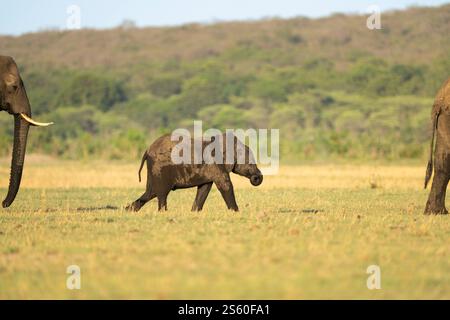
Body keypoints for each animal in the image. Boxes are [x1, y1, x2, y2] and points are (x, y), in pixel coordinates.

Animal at [125, 132, 262, 212]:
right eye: (249, 162)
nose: (257, 177)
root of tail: (147, 150)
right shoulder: (215, 163)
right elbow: (225, 185)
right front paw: (236, 212)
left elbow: (204, 188)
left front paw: (194, 212)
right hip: (160, 167)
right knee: (162, 193)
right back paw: (163, 212)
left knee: (151, 192)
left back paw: (128, 210)